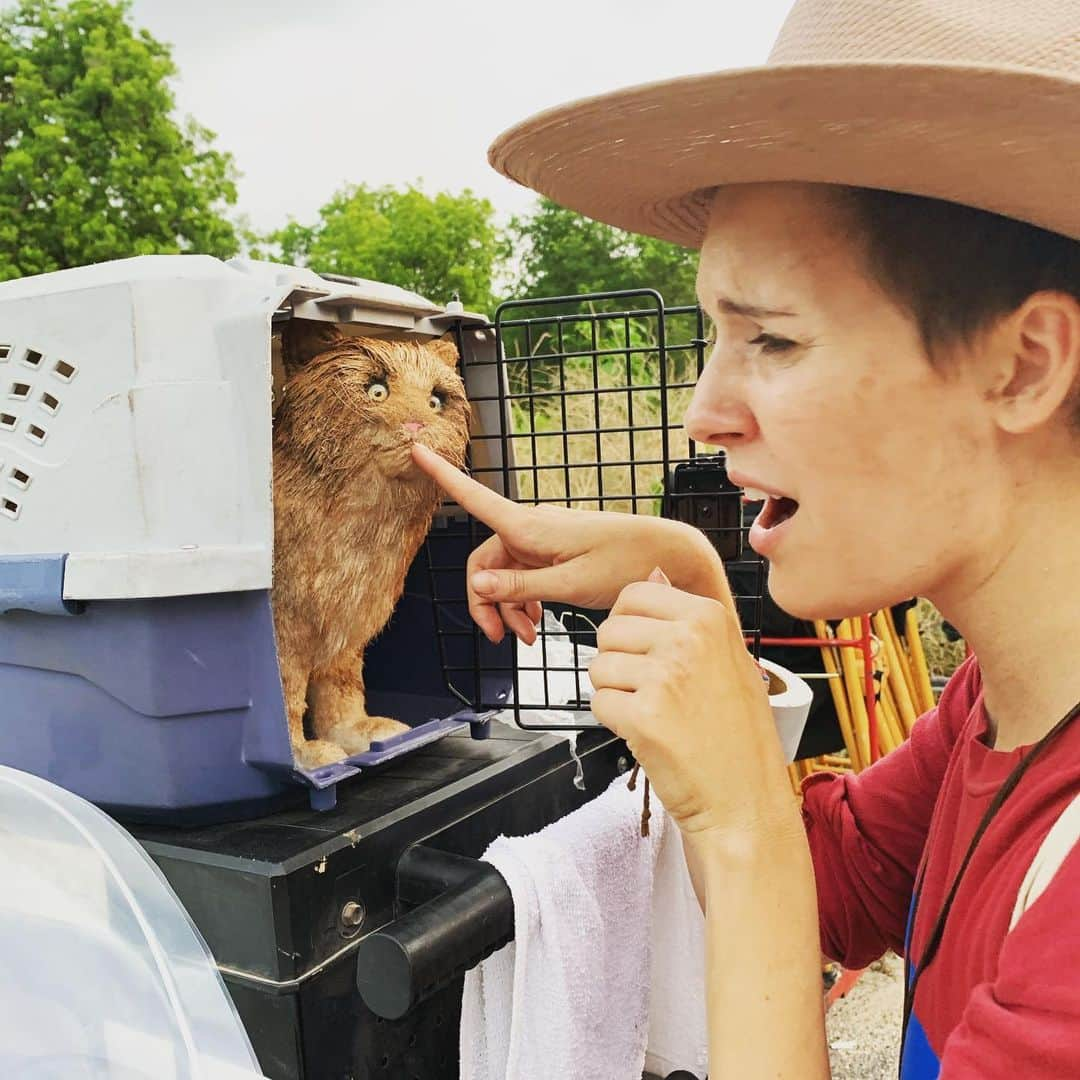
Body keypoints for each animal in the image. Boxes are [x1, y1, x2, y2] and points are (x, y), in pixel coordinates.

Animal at [270, 319, 468, 768]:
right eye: (376, 391)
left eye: (436, 400)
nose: (417, 427)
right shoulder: (285, 627)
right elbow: (287, 693)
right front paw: (303, 756)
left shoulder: (348, 622)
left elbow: (341, 687)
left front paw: (360, 735)